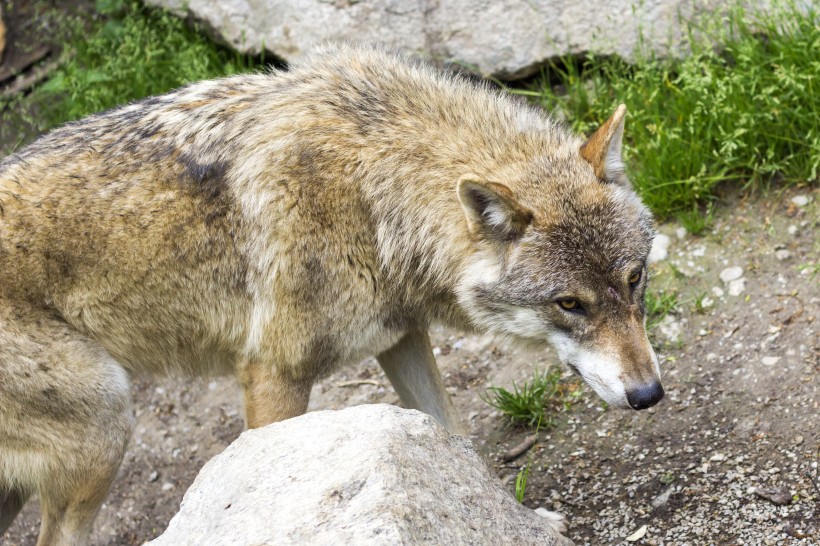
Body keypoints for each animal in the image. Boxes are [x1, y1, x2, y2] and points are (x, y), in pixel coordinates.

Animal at [0, 44, 664, 540]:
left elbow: (456, 438)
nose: (649, 395)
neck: (375, 196)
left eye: (634, 279)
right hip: (107, 425)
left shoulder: (400, 337)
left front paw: (516, 520)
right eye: (569, 304)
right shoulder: (273, 374)